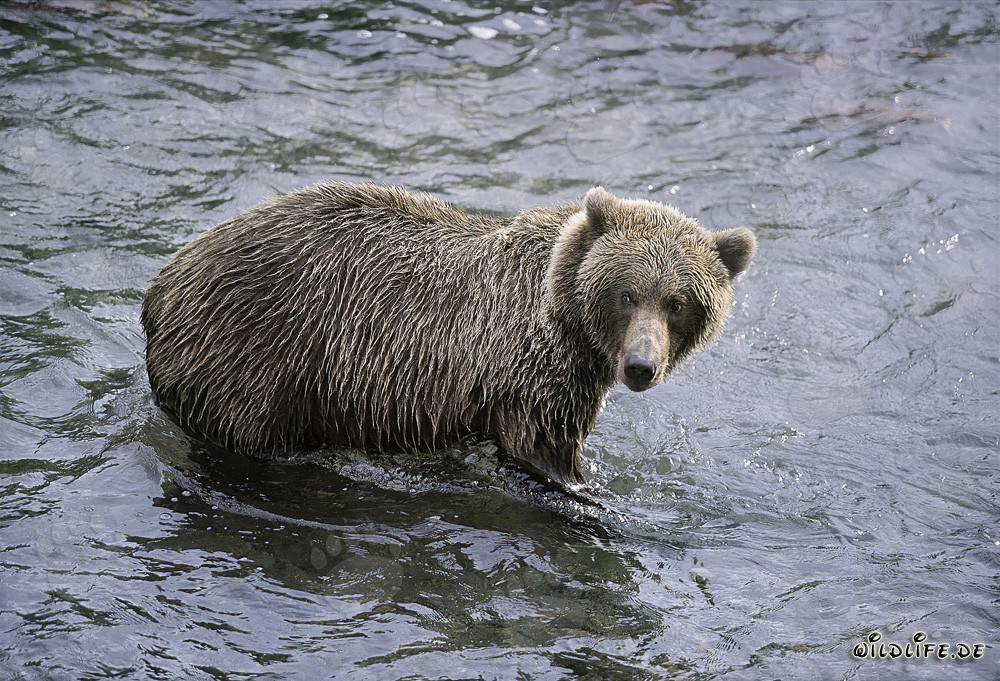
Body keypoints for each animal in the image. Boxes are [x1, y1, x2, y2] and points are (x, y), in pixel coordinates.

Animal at [141, 183, 756, 487]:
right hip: (252, 356)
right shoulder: (532, 376)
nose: (640, 367)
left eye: (678, 303)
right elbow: (544, 453)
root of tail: (162, 284)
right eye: (627, 293)